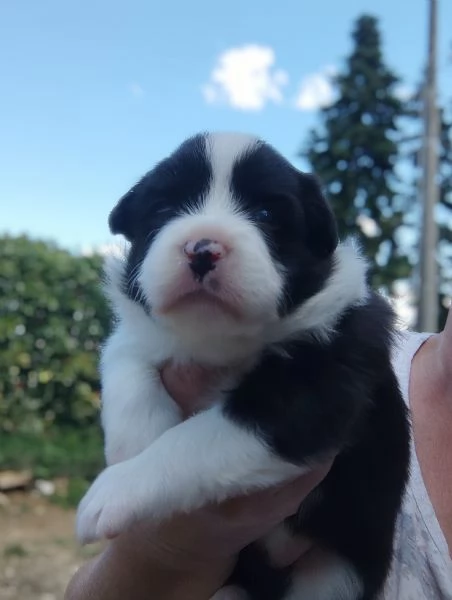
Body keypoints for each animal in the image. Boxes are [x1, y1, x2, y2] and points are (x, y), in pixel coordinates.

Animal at [77, 132, 410, 600]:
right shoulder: (139, 328)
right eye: (163, 210)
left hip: (334, 574)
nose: (203, 248)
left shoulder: (314, 394)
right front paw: (134, 443)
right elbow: (125, 361)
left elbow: (191, 441)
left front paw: (114, 490)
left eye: (266, 214)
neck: (220, 341)